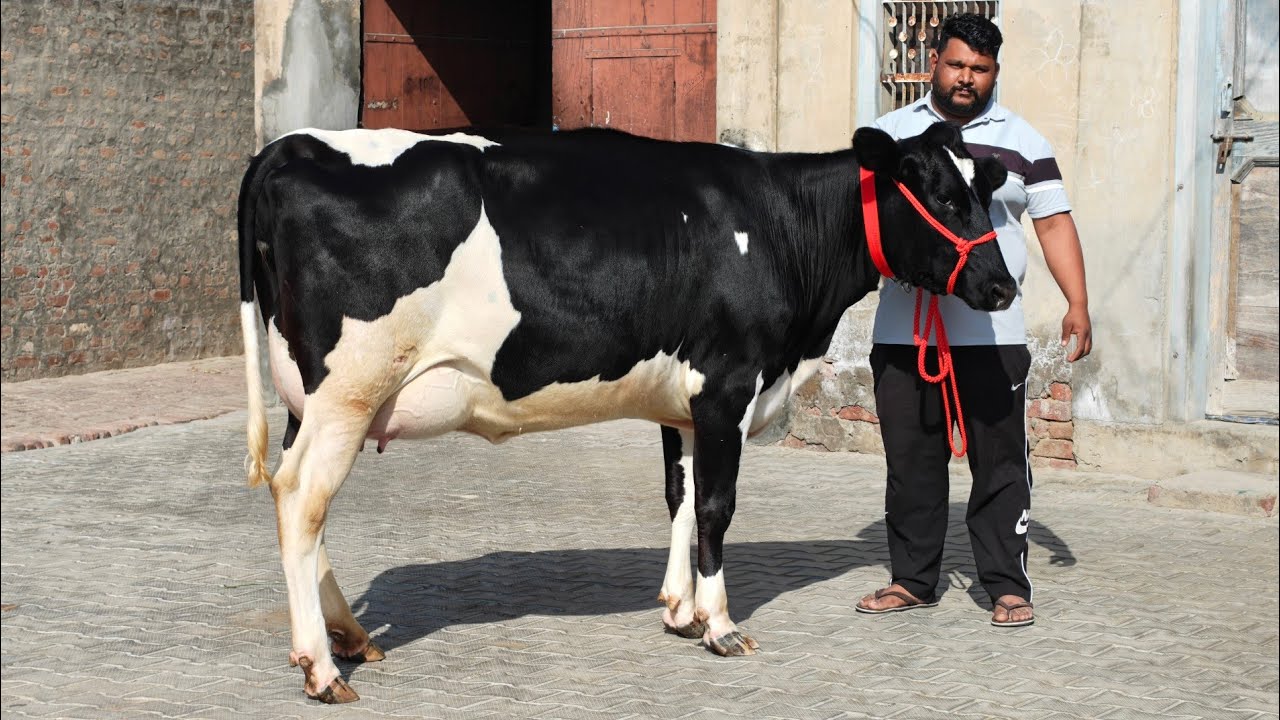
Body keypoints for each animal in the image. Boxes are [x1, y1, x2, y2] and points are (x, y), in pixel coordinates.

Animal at [237, 121, 1014, 703]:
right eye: (941, 196)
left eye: (983, 191)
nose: (1003, 287)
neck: (776, 224)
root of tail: (290, 146)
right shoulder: (729, 385)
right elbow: (716, 508)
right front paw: (720, 626)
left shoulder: (687, 403)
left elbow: (681, 497)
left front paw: (680, 610)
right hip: (350, 389)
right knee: (302, 498)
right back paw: (321, 667)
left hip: (308, 398)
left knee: (297, 500)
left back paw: (350, 638)